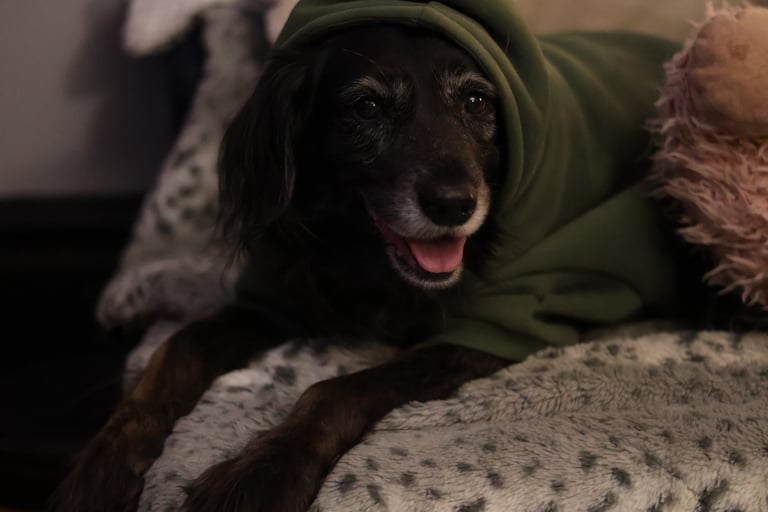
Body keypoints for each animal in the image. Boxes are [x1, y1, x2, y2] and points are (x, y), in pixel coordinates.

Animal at [52, 25, 512, 512]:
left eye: (476, 102)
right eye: (367, 106)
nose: (454, 205)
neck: (364, 255)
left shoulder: (482, 336)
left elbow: (337, 389)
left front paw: (264, 471)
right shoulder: (274, 302)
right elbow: (177, 347)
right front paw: (106, 462)